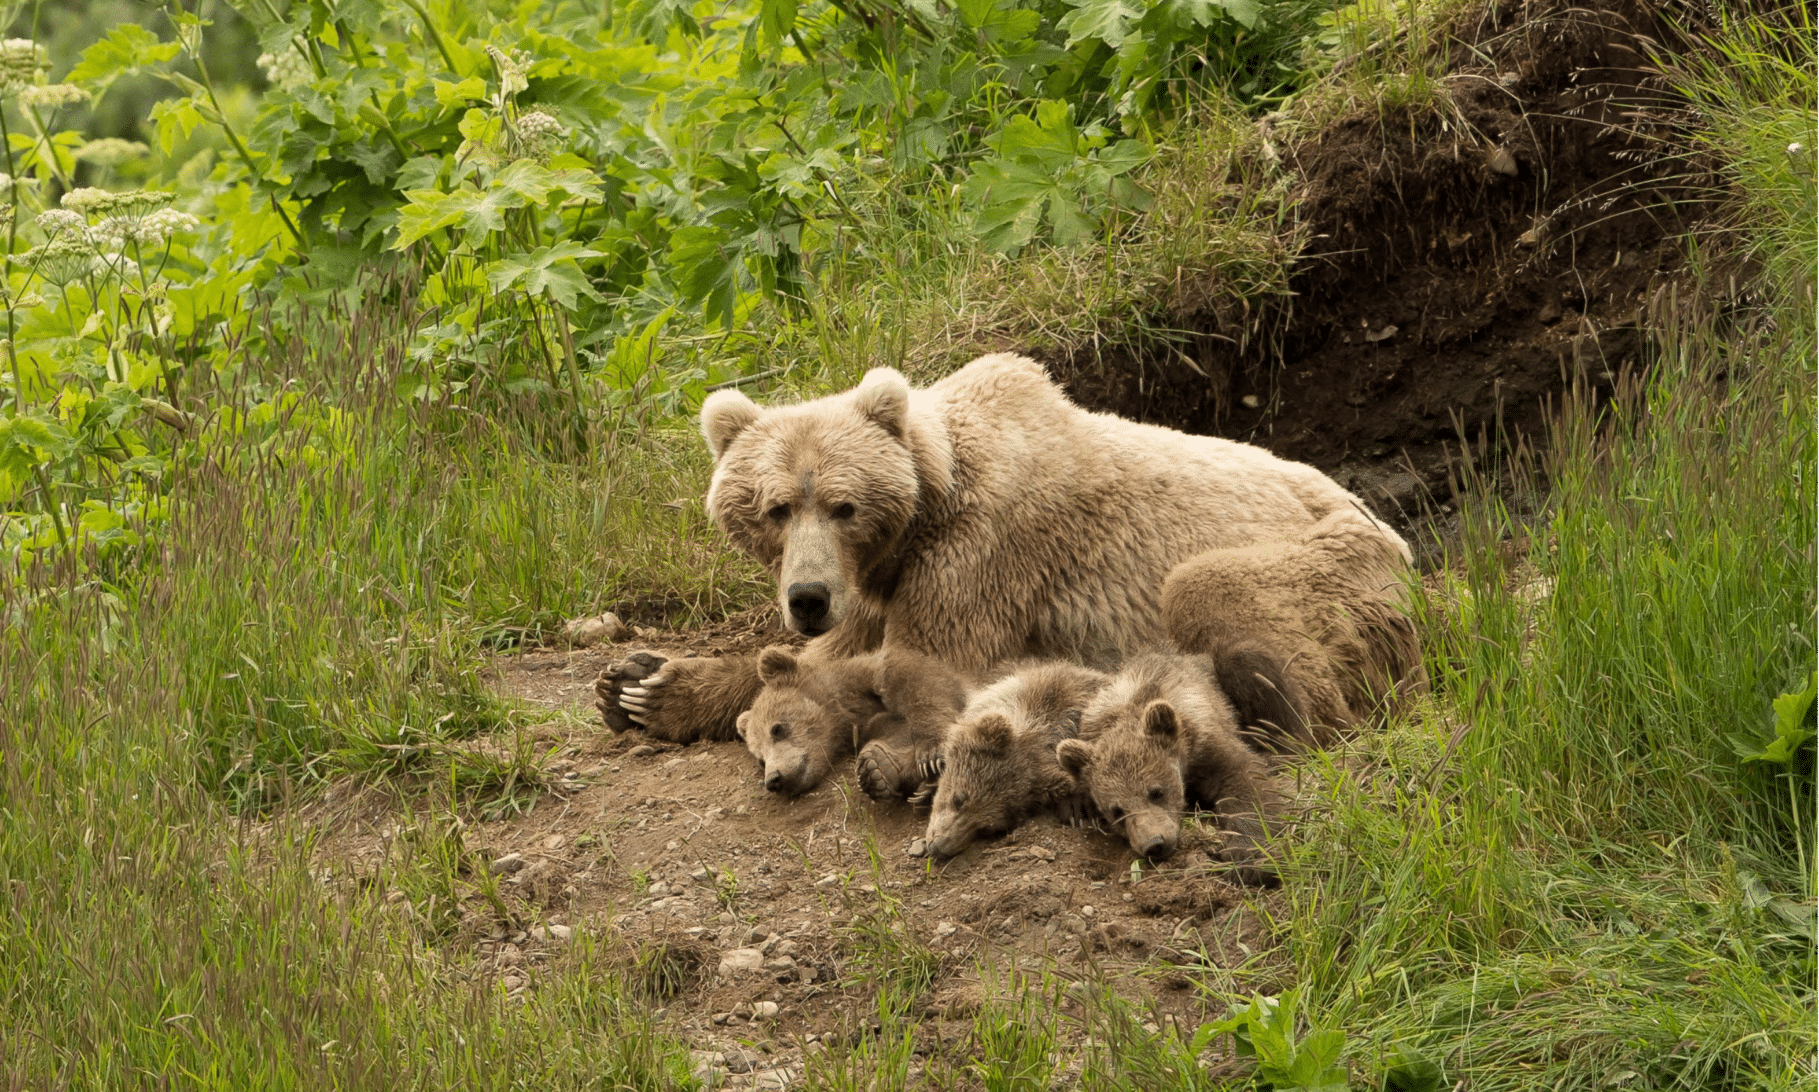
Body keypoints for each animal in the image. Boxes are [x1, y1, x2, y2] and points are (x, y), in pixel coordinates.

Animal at [737, 646, 969, 800]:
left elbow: (922, 688)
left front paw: (930, 756)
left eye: (777, 729)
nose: (773, 780)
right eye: (760, 759)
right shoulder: (870, 725)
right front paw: (877, 769)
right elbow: (893, 737)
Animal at [1057, 652, 1280, 886]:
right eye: (1116, 811)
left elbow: (1245, 784)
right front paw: (1075, 805)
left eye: (1156, 792)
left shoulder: (1208, 746)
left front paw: (1246, 859)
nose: (1154, 844)